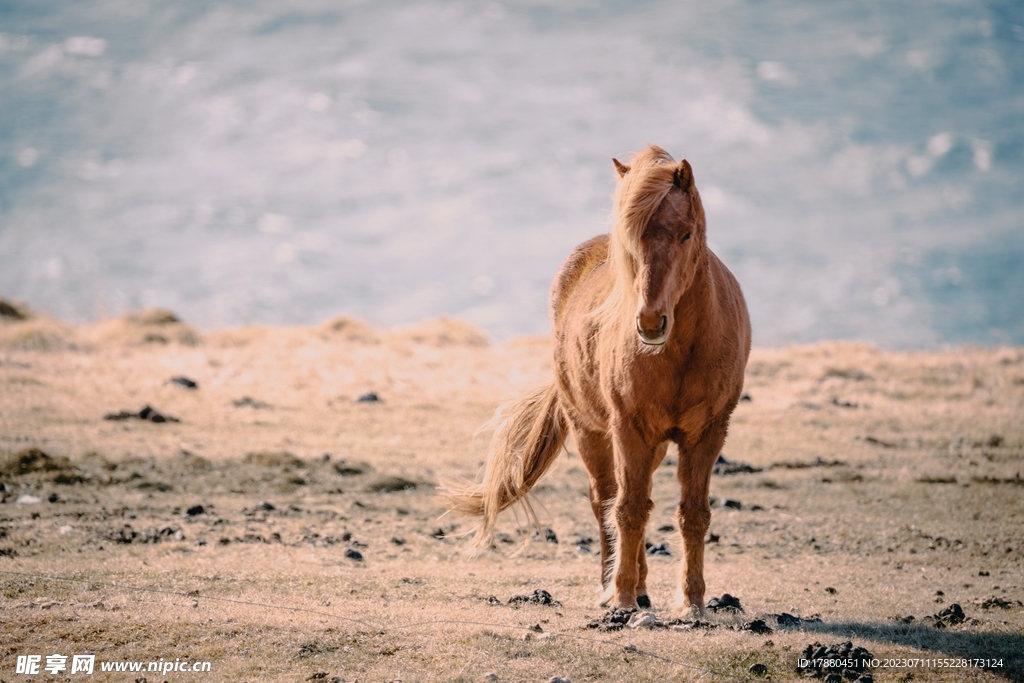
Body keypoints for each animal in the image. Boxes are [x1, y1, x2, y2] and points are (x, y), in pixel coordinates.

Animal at [442, 145, 753, 614]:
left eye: (685, 234)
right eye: (630, 241)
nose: (650, 322)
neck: (680, 353)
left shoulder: (709, 432)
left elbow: (693, 513)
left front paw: (693, 603)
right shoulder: (627, 428)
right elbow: (626, 509)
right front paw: (621, 597)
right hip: (592, 430)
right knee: (607, 499)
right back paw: (620, 589)